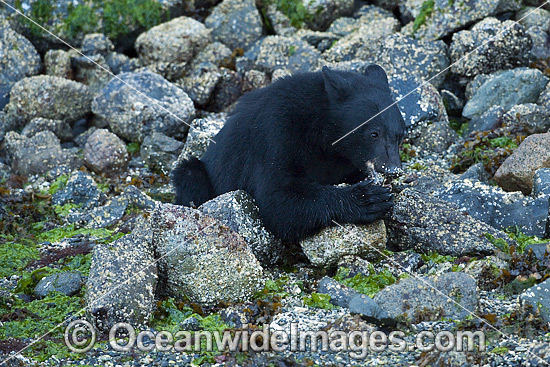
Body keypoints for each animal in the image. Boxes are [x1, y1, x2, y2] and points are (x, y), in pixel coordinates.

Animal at [175, 66, 408, 244]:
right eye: (374, 133)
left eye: (400, 135)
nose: (393, 169)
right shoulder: (276, 134)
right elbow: (278, 199)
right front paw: (367, 198)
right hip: (199, 172)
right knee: (189, 174)